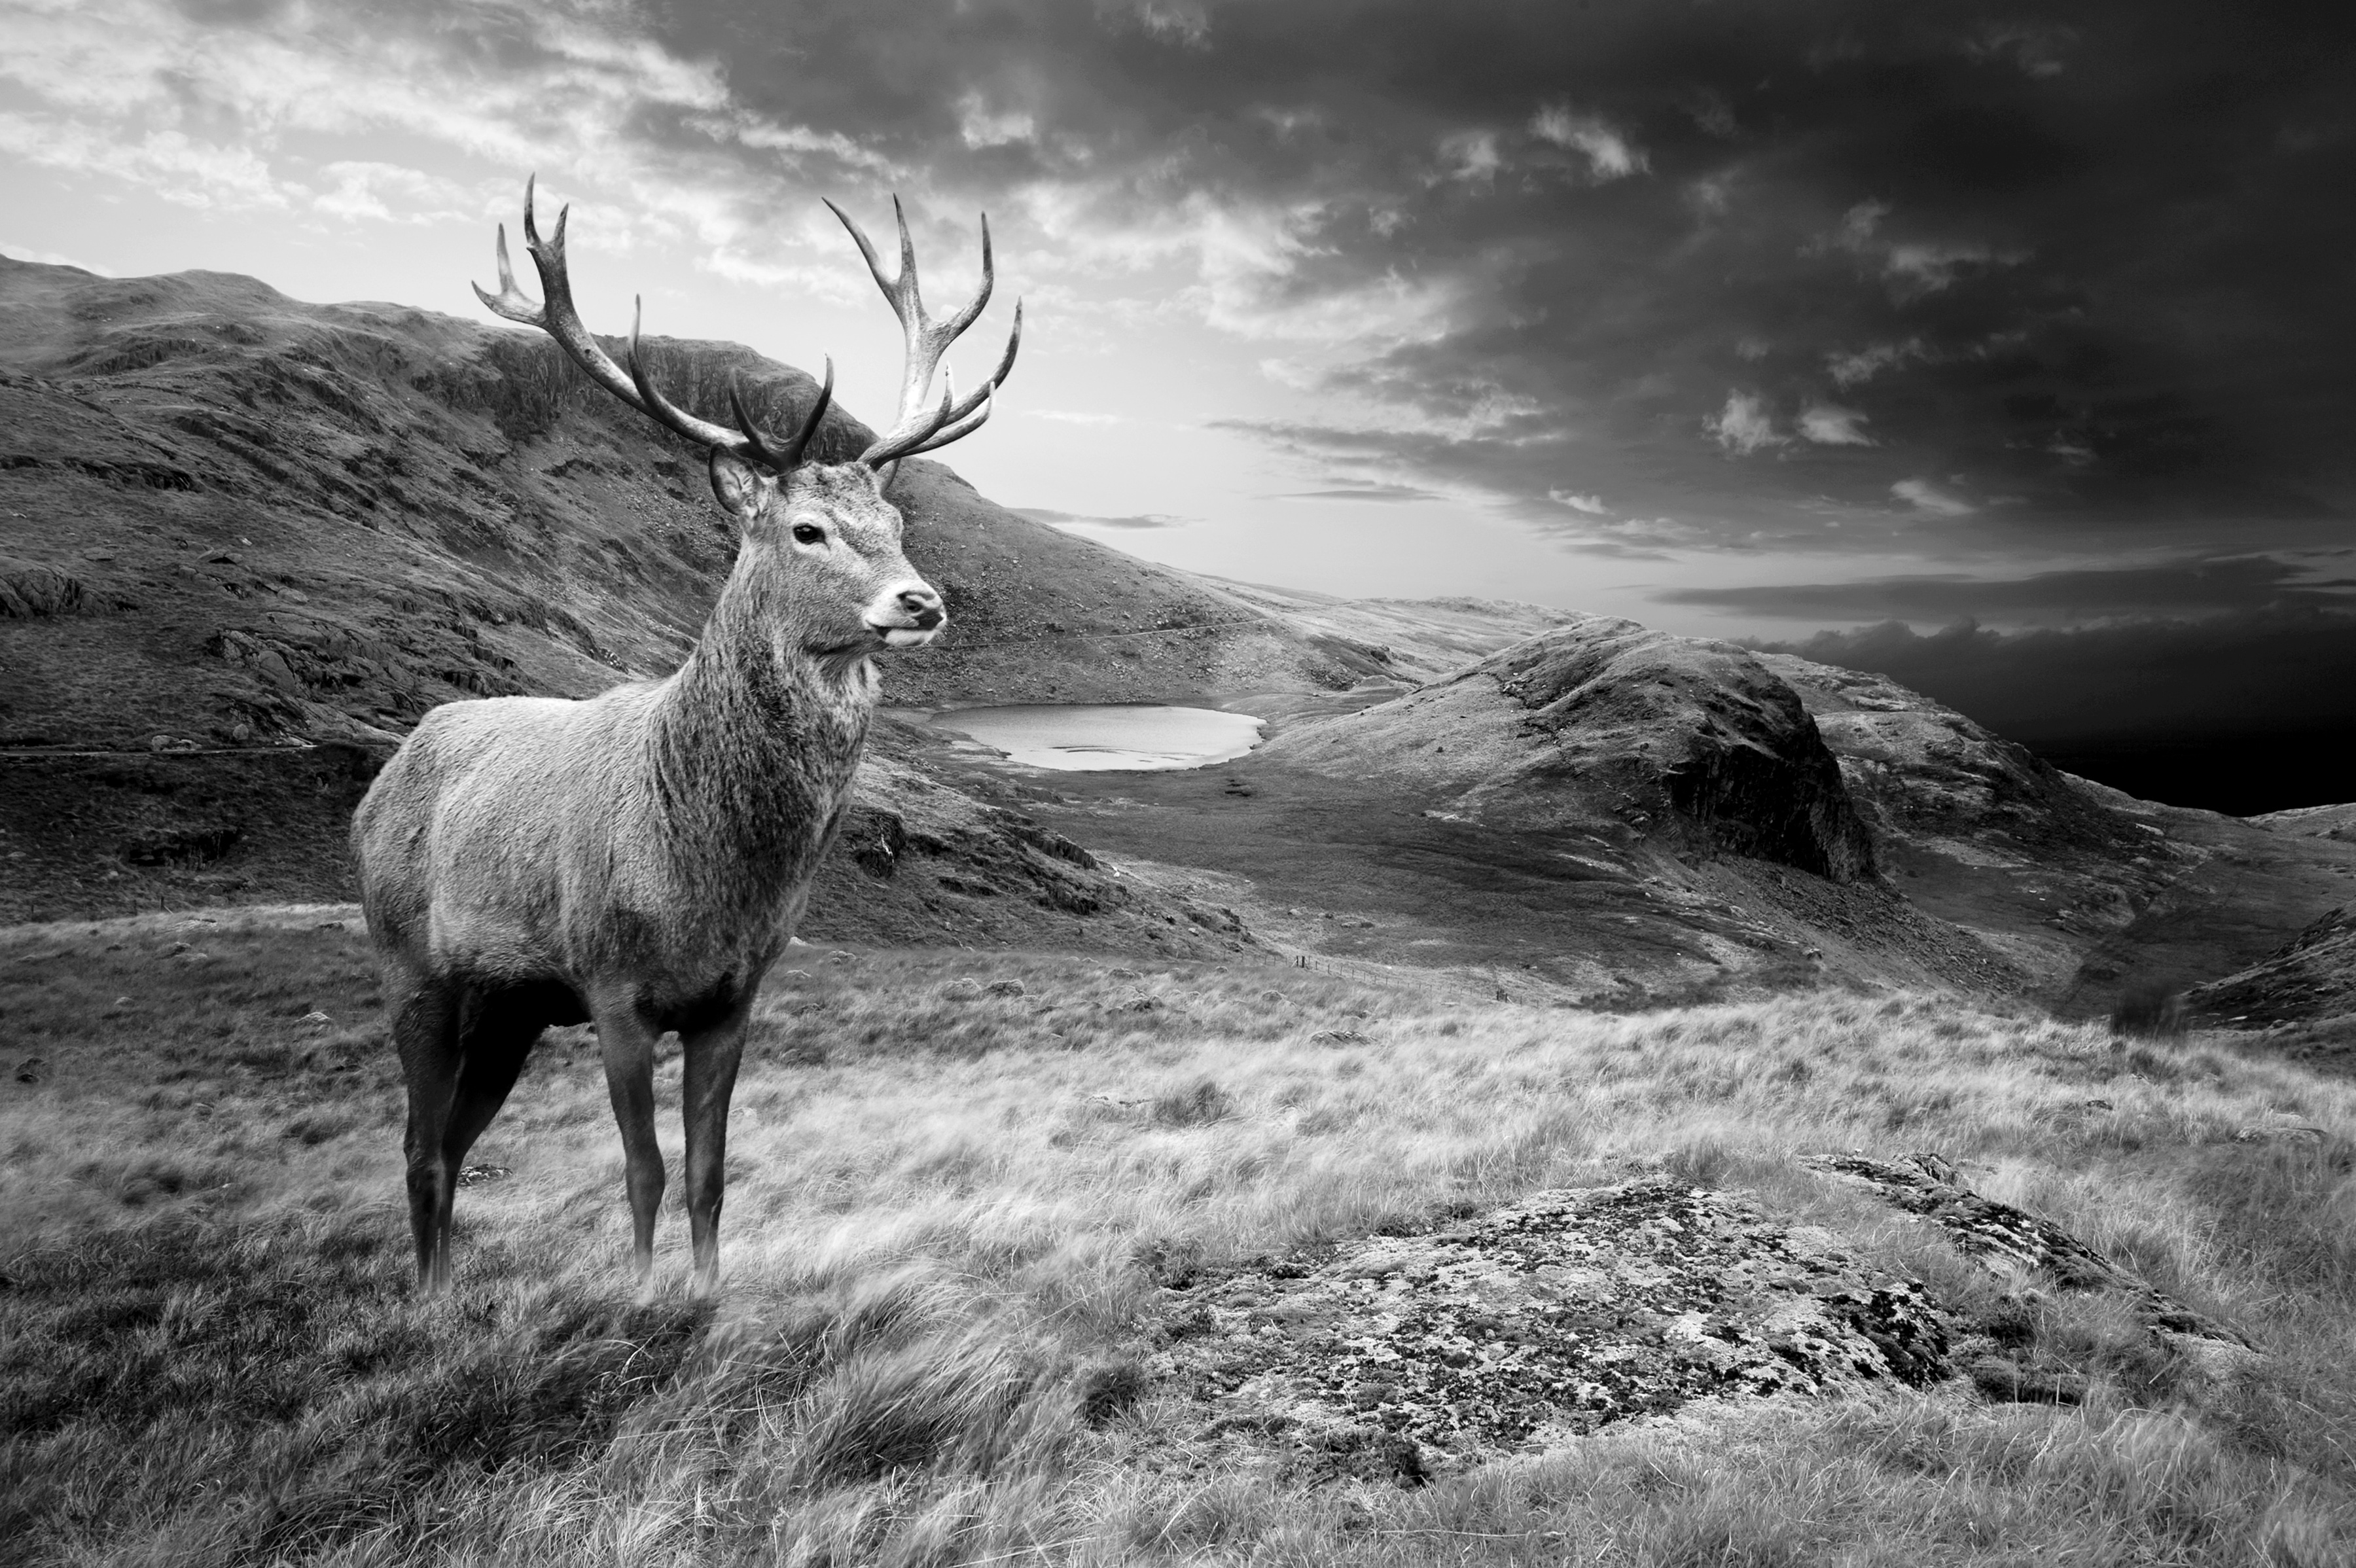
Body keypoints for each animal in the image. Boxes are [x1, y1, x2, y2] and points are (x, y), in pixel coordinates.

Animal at [352, 177, 1019, 1296]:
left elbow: (712, 1170)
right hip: (412, 964)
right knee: (416, 1145)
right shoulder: (614, 985)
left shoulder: (733, 997)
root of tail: (379, 782)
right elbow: (645, 1171)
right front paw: (643, 1295)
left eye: (892, 521)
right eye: (806, 531)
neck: (704, 873)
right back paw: (427, 1302)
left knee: (451, 1137)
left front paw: (707, 1296)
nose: (922, 601)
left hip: (511, 1007)